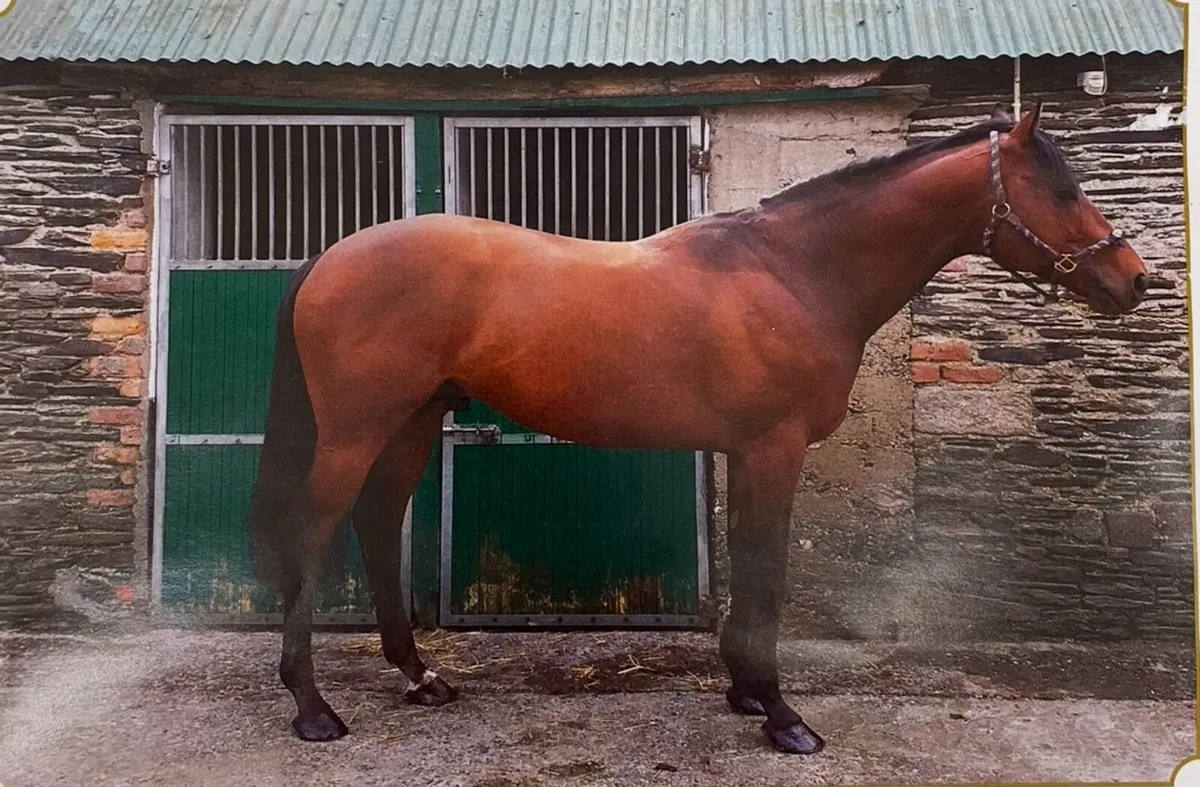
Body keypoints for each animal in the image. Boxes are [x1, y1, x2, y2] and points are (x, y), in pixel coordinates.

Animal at [247, 102, 1147, 755]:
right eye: (1061, 191)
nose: (1135, 280)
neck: (797, 270)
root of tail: (328, 258)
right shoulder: (772, 449)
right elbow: (768, 573)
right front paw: (783, 715)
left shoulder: (747, 453)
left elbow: (750, 569)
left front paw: (745, 690)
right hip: (356, 429)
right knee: (314, 530)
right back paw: (313, 707)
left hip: (410, 420)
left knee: (373, 522)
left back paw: (419, 675)